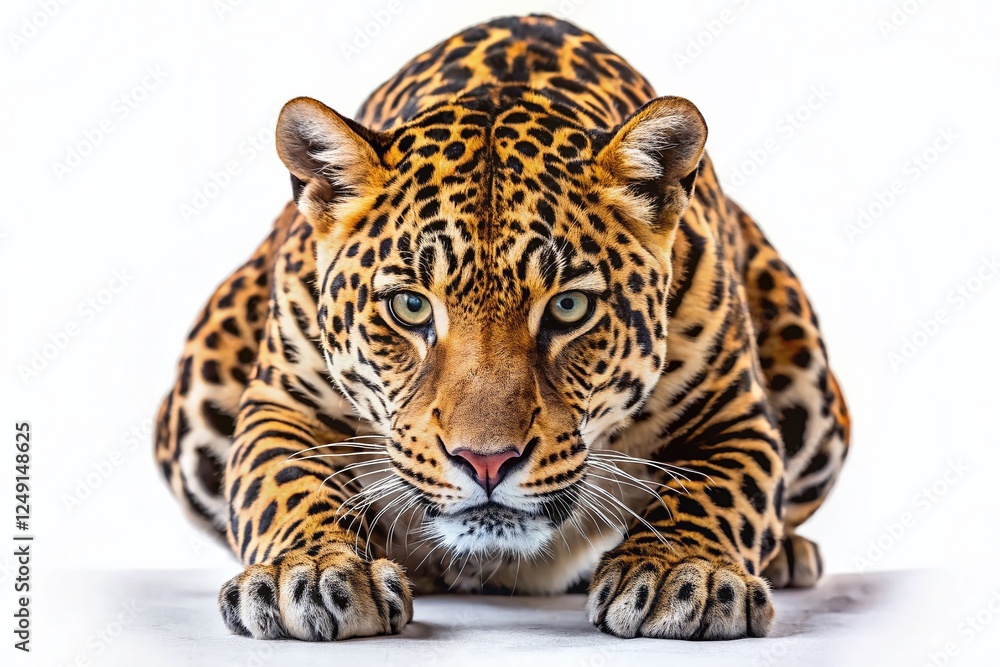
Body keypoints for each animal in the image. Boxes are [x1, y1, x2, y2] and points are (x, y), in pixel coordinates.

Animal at [155, 14, 850, 641]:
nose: (486, 463)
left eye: (568, 308)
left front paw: (686, 573)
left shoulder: (734, 412)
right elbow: (282, 481)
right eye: (410, 307)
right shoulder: (280, 399)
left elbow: (721, 489)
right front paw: (310, 571)